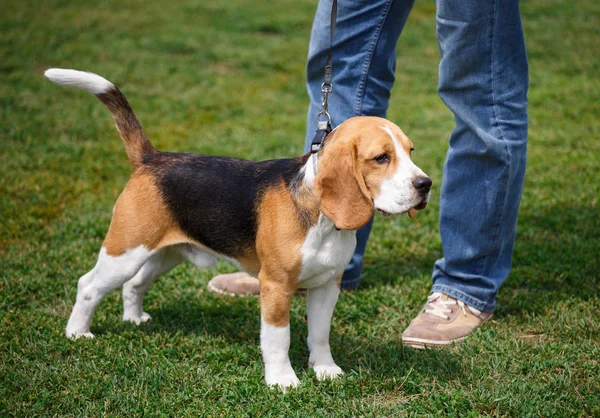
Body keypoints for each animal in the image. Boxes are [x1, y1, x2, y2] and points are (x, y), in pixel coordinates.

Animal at [47, 68, 432, 388]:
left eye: (411, 151)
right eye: (381, 158)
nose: (425, 184)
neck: (322, 218)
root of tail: (150, 158)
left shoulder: (327, 285)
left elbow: (320, 334)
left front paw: (325, 369)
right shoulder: (275, 286)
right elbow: (278, 338)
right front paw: (282, 381)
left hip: (165, 253)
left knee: (135, 283)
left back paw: (134, 318)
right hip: (125, 250)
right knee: (89, 285)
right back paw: (77, 333)